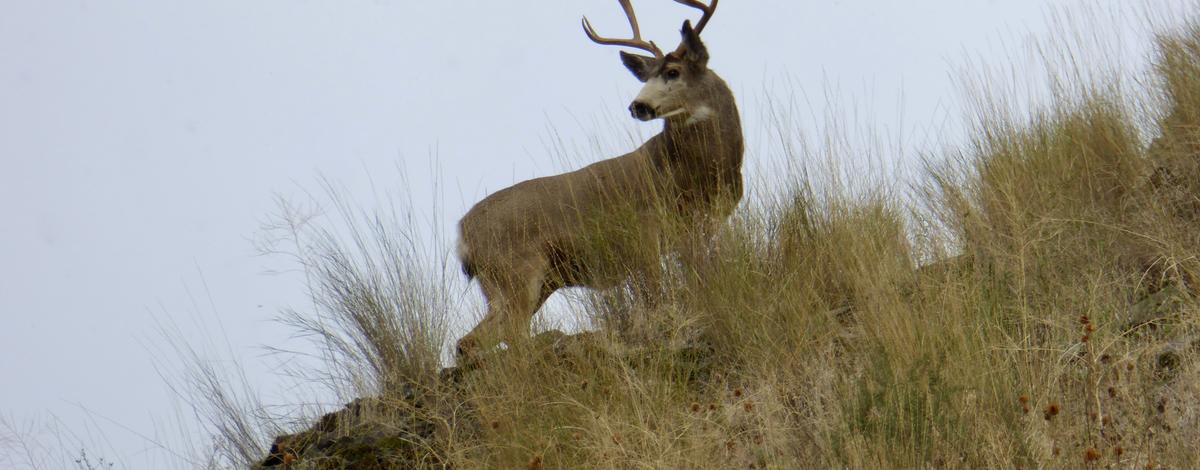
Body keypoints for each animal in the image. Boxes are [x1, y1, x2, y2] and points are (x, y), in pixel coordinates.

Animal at [456, 0, 739, 357]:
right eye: (649, 75)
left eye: (673, 72)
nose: (638, 105)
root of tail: (462, 233)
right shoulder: (644, 231)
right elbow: (658, 301)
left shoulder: (700, 230)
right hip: (517, 271)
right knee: (514, 336)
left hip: (529, 282)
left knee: (469, 341)